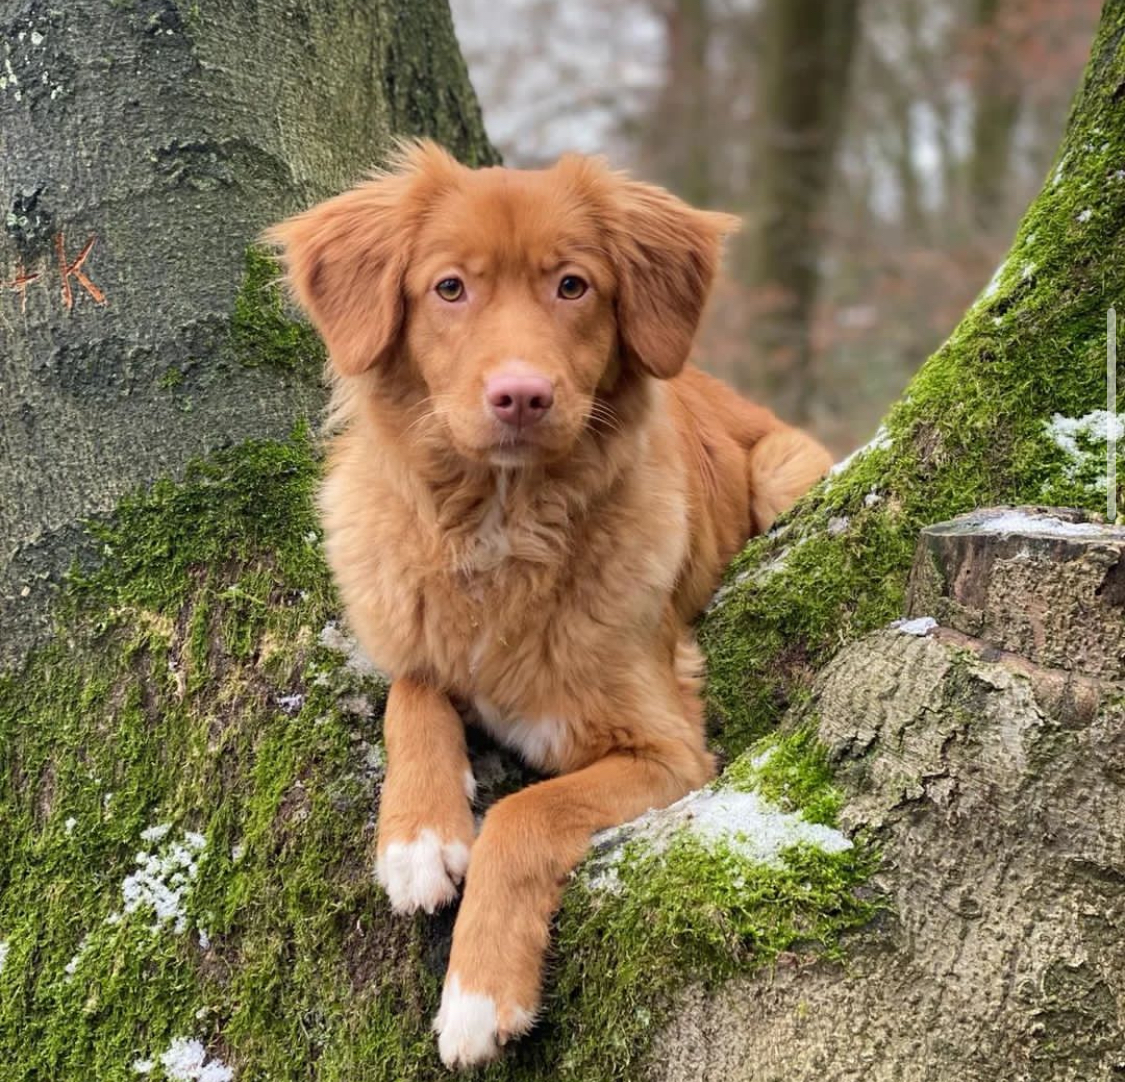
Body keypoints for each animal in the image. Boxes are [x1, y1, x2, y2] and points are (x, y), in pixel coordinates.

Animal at [267, 141, 837, 1061]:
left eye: (572, 285)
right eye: (449, 288)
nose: (522, 394)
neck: (503, 530)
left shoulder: (668, 753)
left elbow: (524, 814)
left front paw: (477, 993)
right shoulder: (413, 631)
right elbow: (411, 692)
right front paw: (416, 837)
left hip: (787, 471)